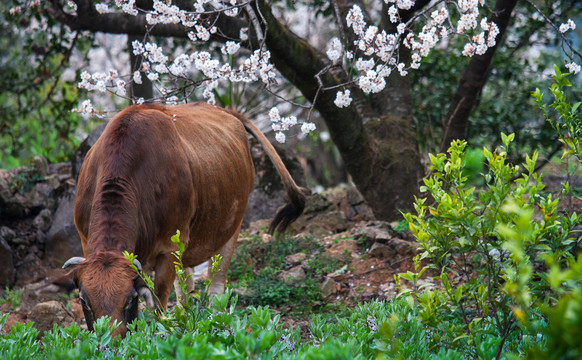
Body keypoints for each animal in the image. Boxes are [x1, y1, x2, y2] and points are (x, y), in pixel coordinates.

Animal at [63, 102, 308, 338]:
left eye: (130, 299)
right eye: (84, 301)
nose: (111, 342)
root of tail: (222, 110)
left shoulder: (169, 248)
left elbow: (158, 303)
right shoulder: (86, 240)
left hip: (231, 226)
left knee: (216, 285)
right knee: (186, 288)